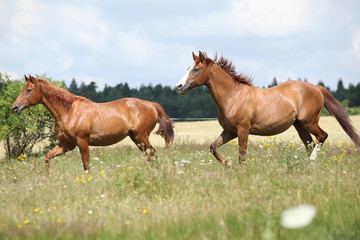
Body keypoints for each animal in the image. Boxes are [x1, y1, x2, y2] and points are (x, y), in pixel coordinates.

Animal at [11, 75, 174, 171]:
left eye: (29, 90)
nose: (14, 108)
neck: (68, 111)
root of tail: (151, 104)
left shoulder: (82, 142)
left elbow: (86, 164)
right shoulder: (66, 145)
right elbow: (47, 157)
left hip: (141, 136)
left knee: (151, 152)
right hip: (136, 138)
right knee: (150, 154)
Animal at [176, 51, 358, 165]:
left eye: (196, 69)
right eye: (188, 69)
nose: (179, 87)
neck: (233, 96)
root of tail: (316, 87)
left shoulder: (242, 130)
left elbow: (242, 156)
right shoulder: (230, 131)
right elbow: (213, 147)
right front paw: (227, 164)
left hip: (309, 122)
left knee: (322, 136)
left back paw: (312, 161)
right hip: (299, 125)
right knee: (310, 143)